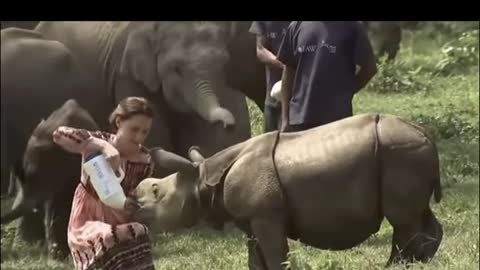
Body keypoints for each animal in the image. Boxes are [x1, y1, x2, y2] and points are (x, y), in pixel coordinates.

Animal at [133, 113, 444, 270]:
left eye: (156, 191)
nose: (132, 199)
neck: (202, 178)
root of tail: (427, 134)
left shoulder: (266, 215)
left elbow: (275, 254)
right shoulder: (250, 219)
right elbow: (255, 257)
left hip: (400, 152)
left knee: (402, 219)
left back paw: (396, 266)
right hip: (406, 153)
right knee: (418, 214)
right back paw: (422, 261)